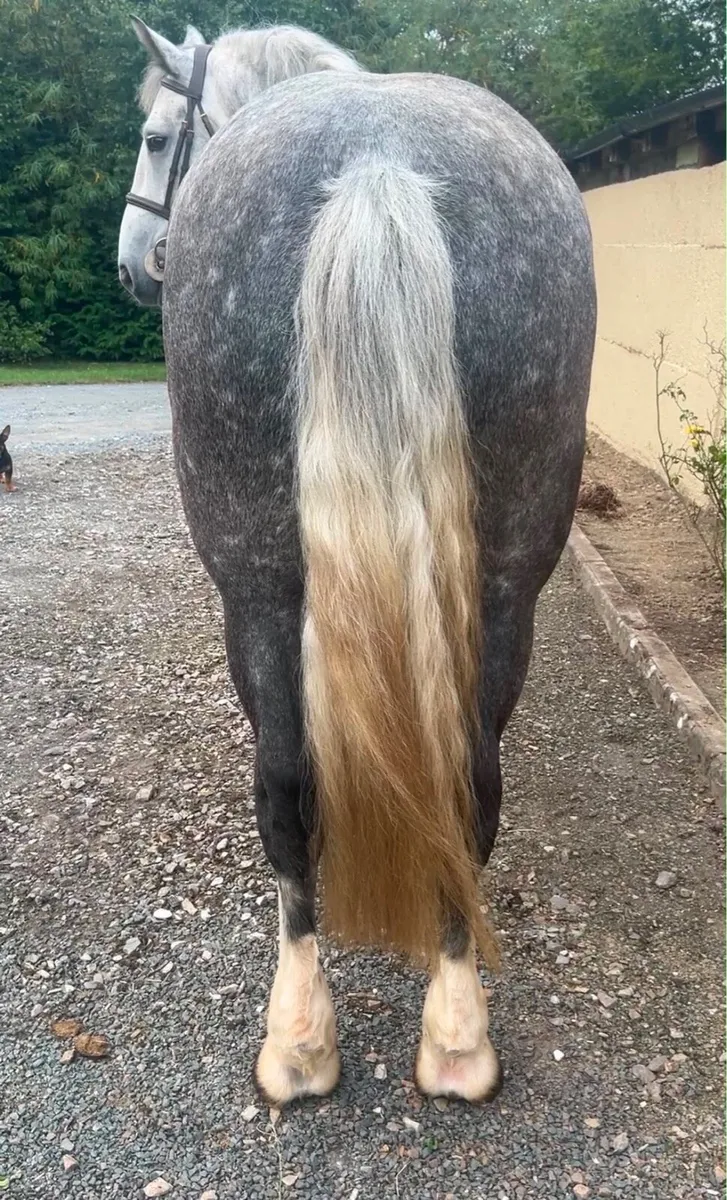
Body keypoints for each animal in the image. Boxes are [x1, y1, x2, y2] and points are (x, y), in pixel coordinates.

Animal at [119, 22, 596, 1108]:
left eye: (159, 137)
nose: (131, 265)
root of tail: (378, 165)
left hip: (252, 580)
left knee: (286, 785)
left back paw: (298, 1040)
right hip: (505, 581)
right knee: (467, 777)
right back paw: (457, 1034)